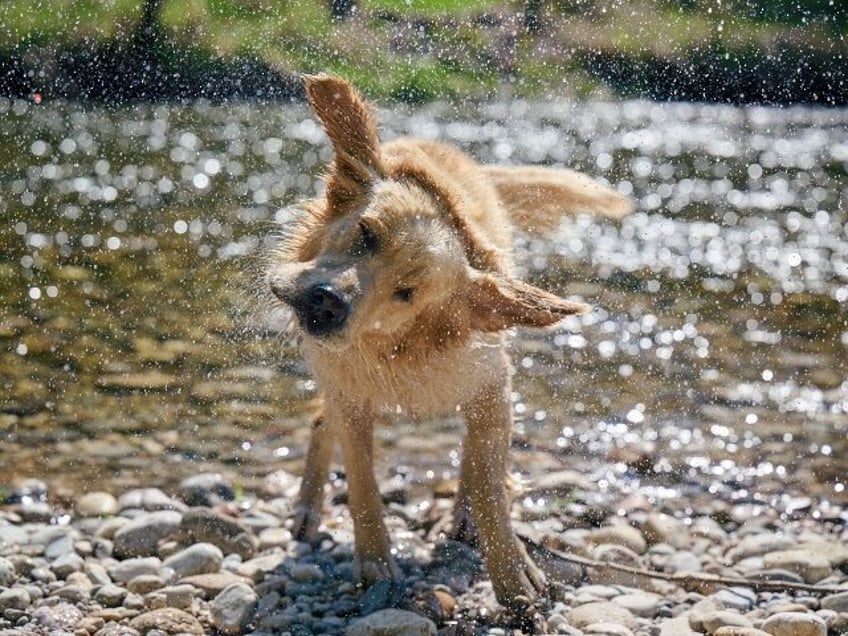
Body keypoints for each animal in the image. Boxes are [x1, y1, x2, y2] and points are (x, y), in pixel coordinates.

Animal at [264, 74, 628, 616]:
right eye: (366, 233)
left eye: (407, 292)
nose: (328, 301)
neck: (398, 347)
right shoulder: (351, 396)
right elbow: (363, 482)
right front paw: (375, 563)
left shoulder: (491, 388)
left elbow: (489, 484)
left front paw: (512, 571)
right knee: (321, 424)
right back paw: (308, 508)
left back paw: (462, 517)